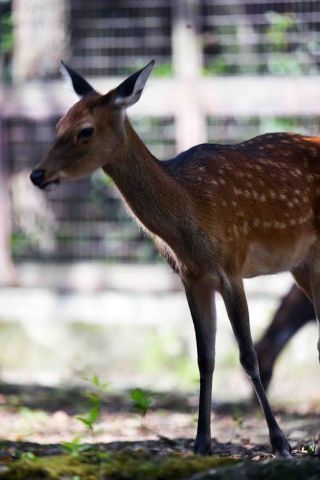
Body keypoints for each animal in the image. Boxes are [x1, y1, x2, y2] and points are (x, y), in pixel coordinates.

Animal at [30, 61, 320, 458]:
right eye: (59, 123)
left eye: (84, 130)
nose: (37, 174)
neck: (189, 215)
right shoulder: (191, 276)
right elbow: (205, 356)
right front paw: (200, 443)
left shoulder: (231, 265)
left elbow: (247, 354)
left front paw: (280, 442)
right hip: (301, 265)